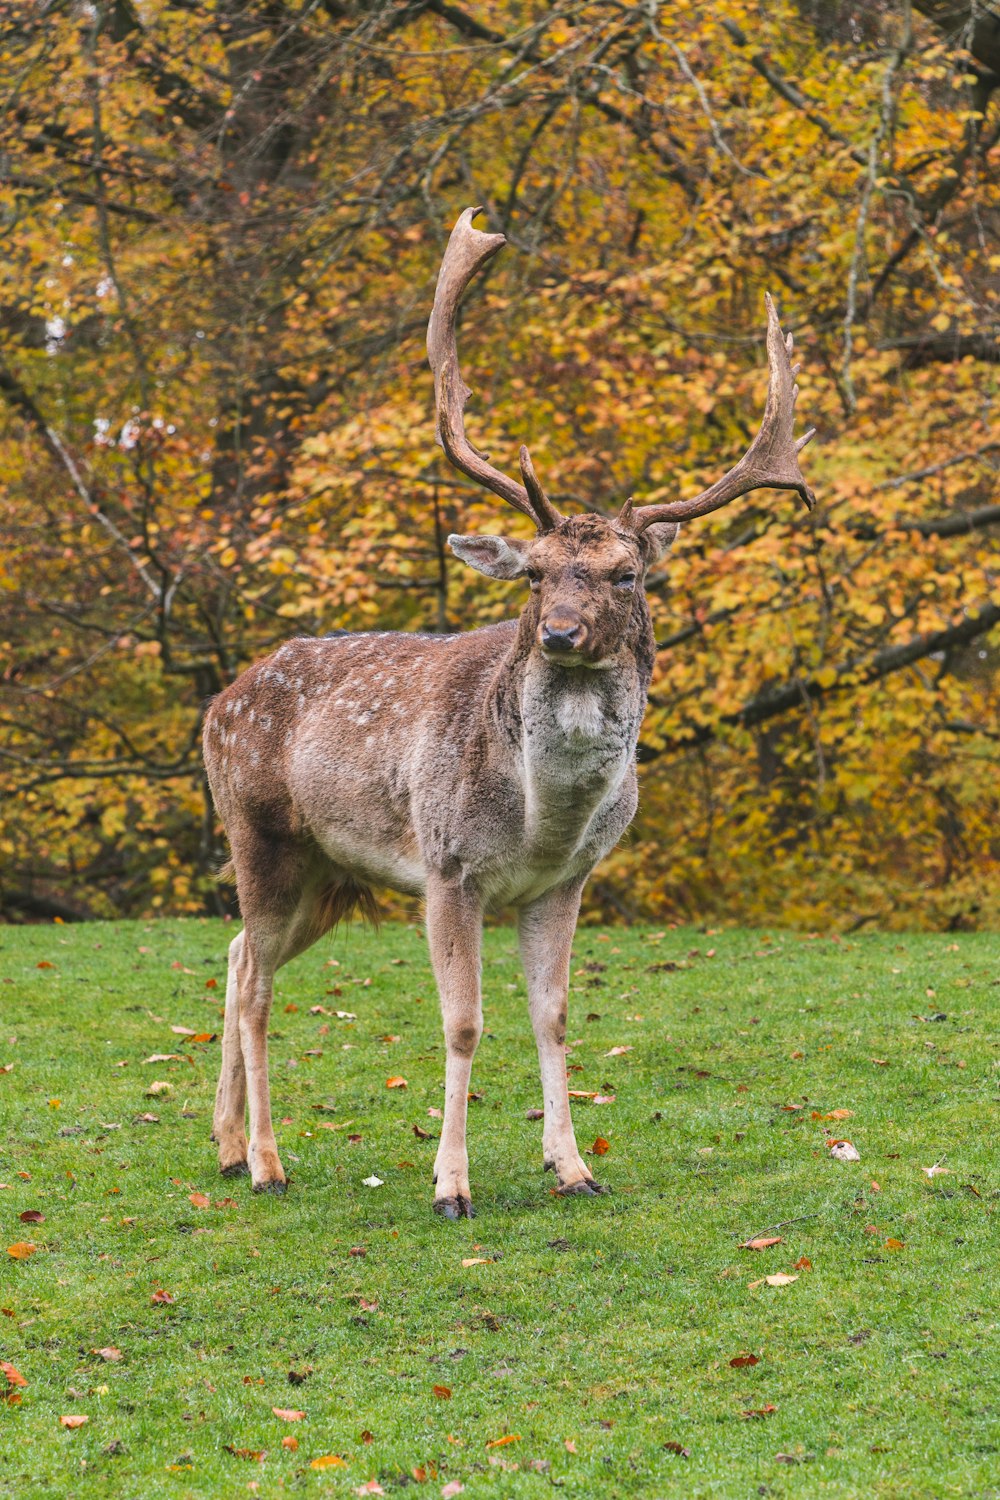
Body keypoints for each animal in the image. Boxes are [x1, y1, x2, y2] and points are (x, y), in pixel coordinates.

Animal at [200, 205, 815, 1212]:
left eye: (626, 573)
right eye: (532, 573)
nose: (561, 632)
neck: (540, 822)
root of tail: (218, 704)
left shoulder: (566, 882)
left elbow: (554, 1016)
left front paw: (573, 1167)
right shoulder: (449, 868)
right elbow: (463, 1023)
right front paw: (451, 1185)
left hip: (329, 874)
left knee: (237, 955)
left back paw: (220, 1145)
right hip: (258, 830)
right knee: (254, 984)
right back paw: (264, 1161)